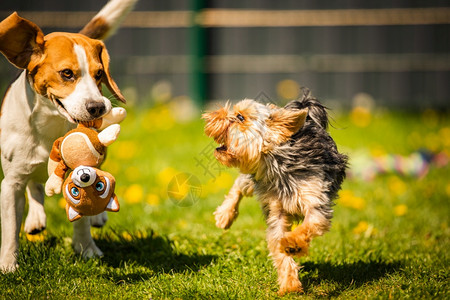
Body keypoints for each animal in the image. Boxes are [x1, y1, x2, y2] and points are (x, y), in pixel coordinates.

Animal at [0, 0, 137, 272]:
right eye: (66, 73)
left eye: (98, 74)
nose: (98, 107)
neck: (49, 125)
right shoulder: (10, 184)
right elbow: (10, 231)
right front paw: (8, 265)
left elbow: (83, 216)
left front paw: (86, 249)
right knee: (35, 187)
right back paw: (36, 217)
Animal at [203, 92, 348, 294]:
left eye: (240, 117)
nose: (211, 115)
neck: (279, 164)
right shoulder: (276, 211)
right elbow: (280, 249)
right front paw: (290, 284)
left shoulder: (317, 203)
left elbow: (308, 226)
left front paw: (293, 244)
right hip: (253, 178)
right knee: (239, 184)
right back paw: (225, 216)